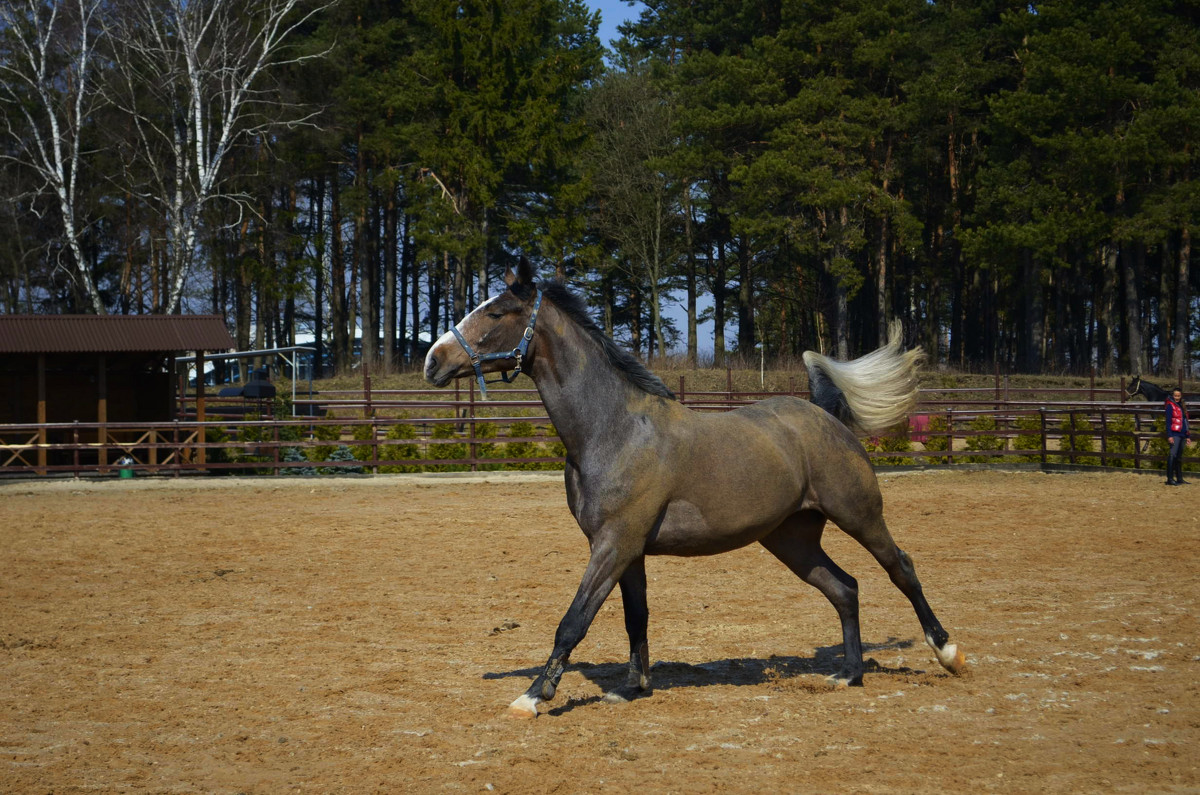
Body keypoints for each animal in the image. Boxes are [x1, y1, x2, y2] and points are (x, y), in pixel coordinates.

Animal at [422, 258, 964, 720]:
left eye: (496, 311)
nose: (432, 360)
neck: (613, 430)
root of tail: (824, 415)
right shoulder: (628, 551)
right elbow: (635, 617)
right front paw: (632, 687)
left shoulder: (613, 544)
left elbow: (574, 620)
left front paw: (533, 696)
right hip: (791, 538)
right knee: (844, 588)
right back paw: (848, 674)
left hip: (860, 515)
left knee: (901, 569)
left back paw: (948, 652)